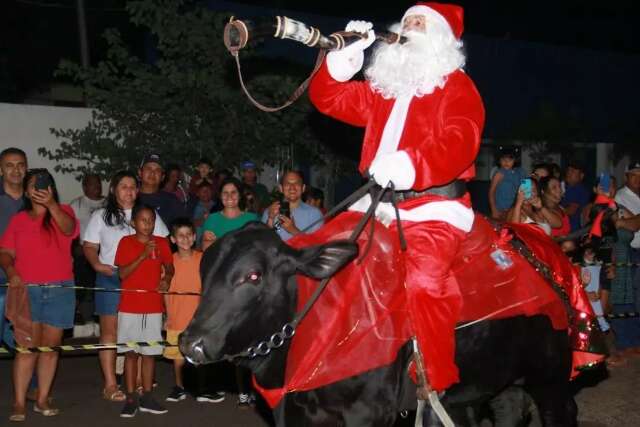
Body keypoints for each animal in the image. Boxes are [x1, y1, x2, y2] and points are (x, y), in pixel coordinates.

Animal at [179, 224, 576, 427]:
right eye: (204, 270)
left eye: (253, 275)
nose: (191, 342)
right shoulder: (291, 412)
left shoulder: (368, 412)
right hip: (484, 387)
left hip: (552, 378)